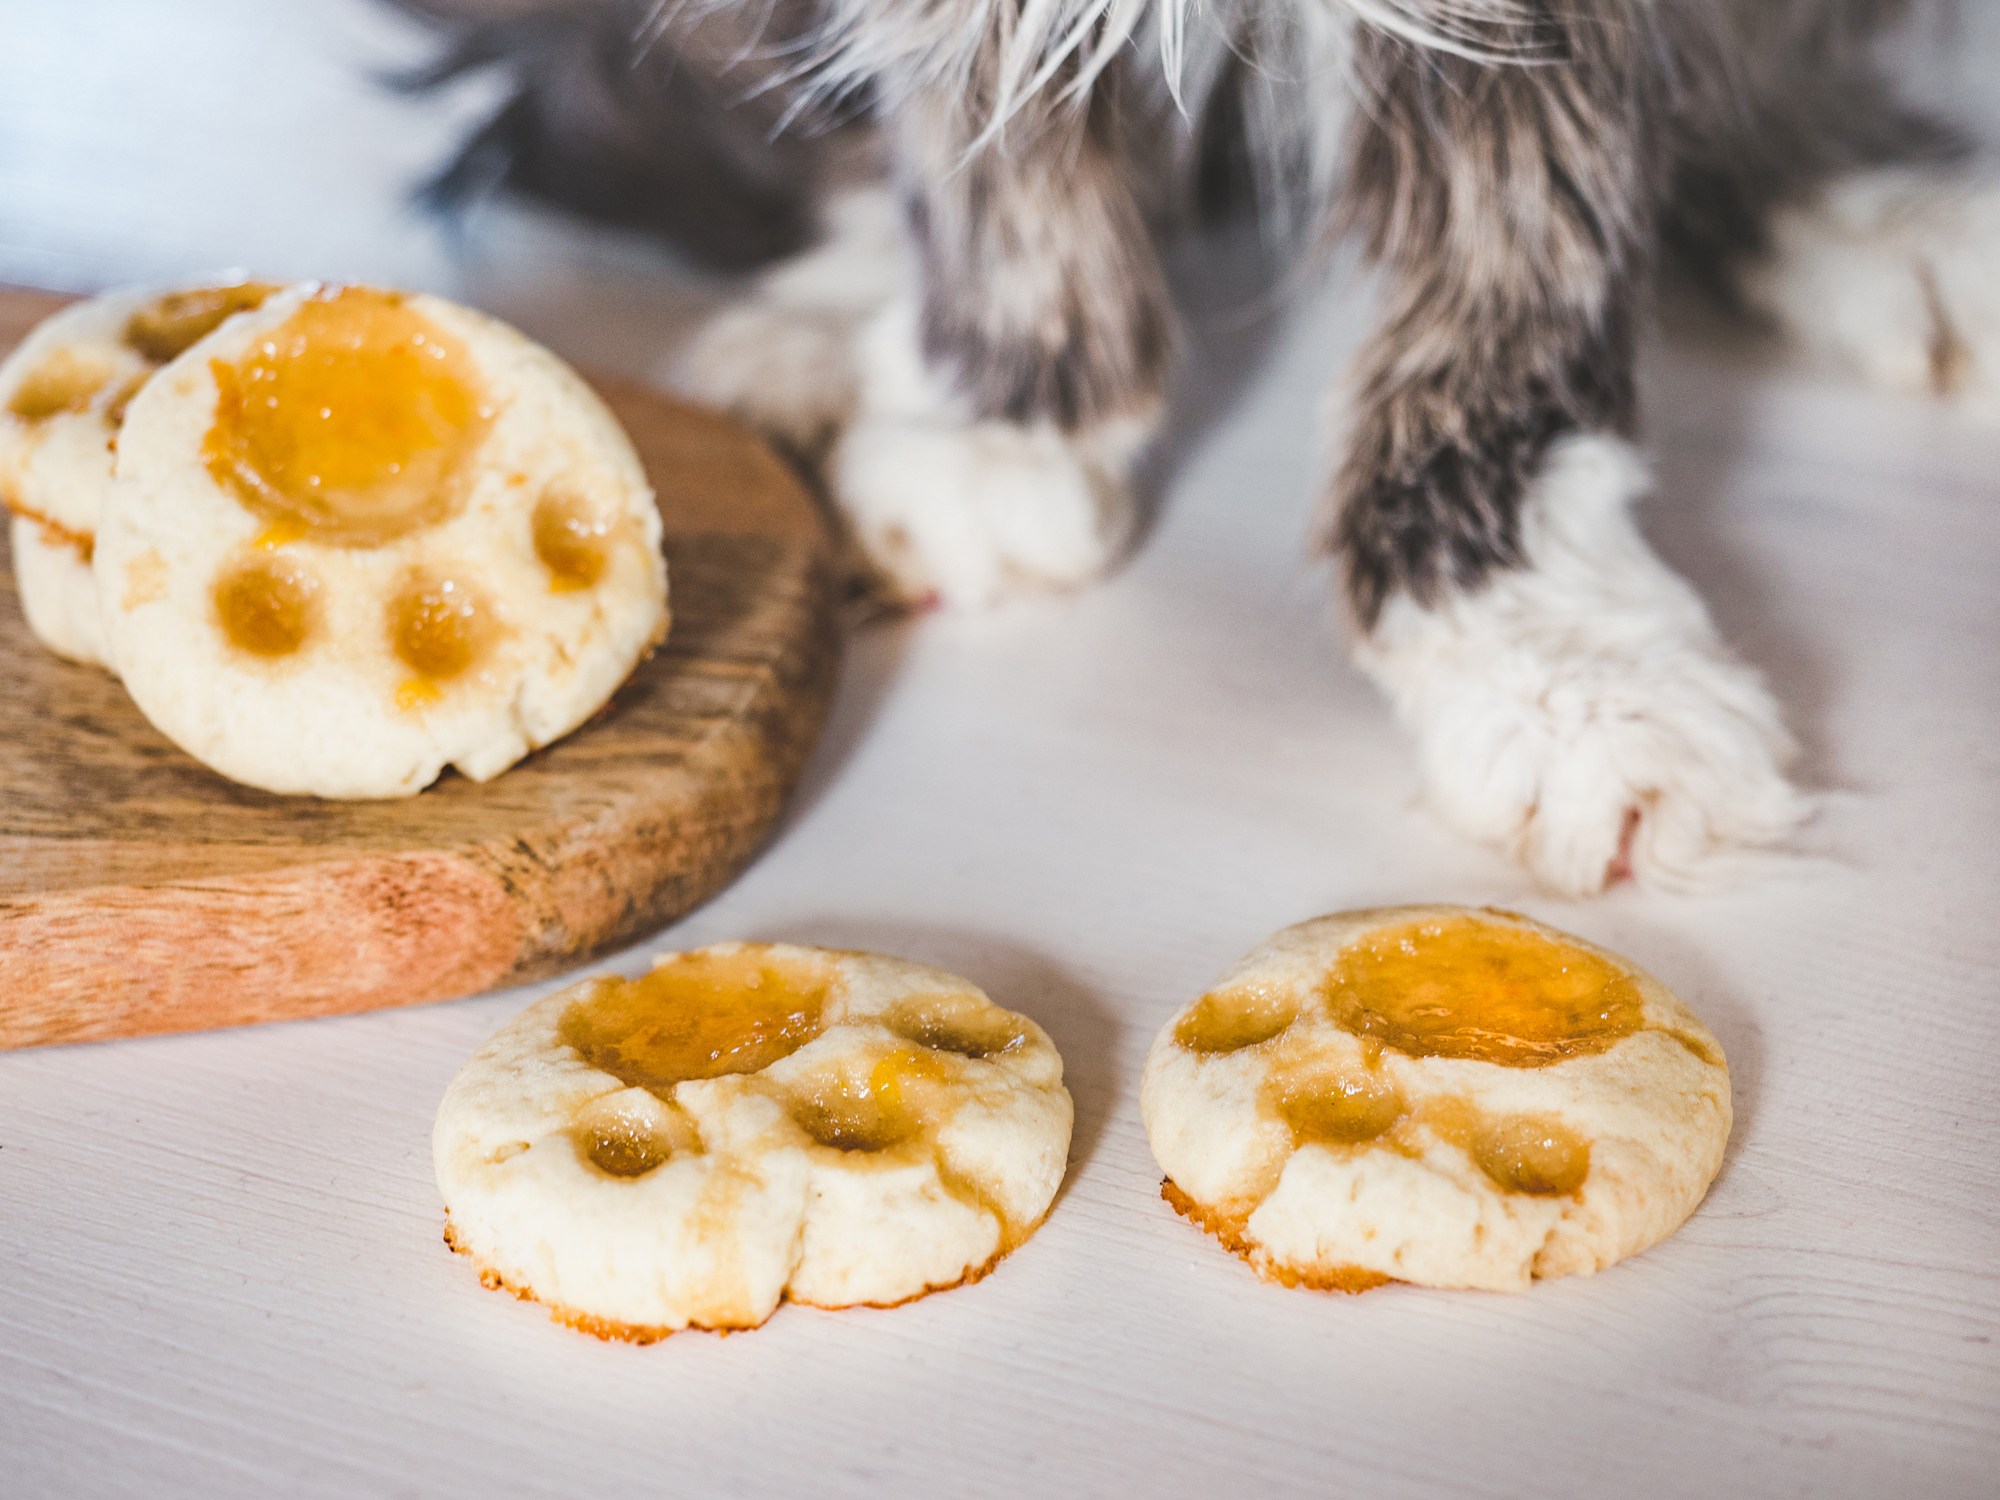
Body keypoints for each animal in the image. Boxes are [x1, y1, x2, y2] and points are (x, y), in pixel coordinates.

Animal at [398, 0, 1992, 892]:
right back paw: (822, 332)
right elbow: (979, 102)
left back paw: (1870, 205)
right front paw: (1006, 411)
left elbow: (1519, 239)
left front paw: (1553, 661)